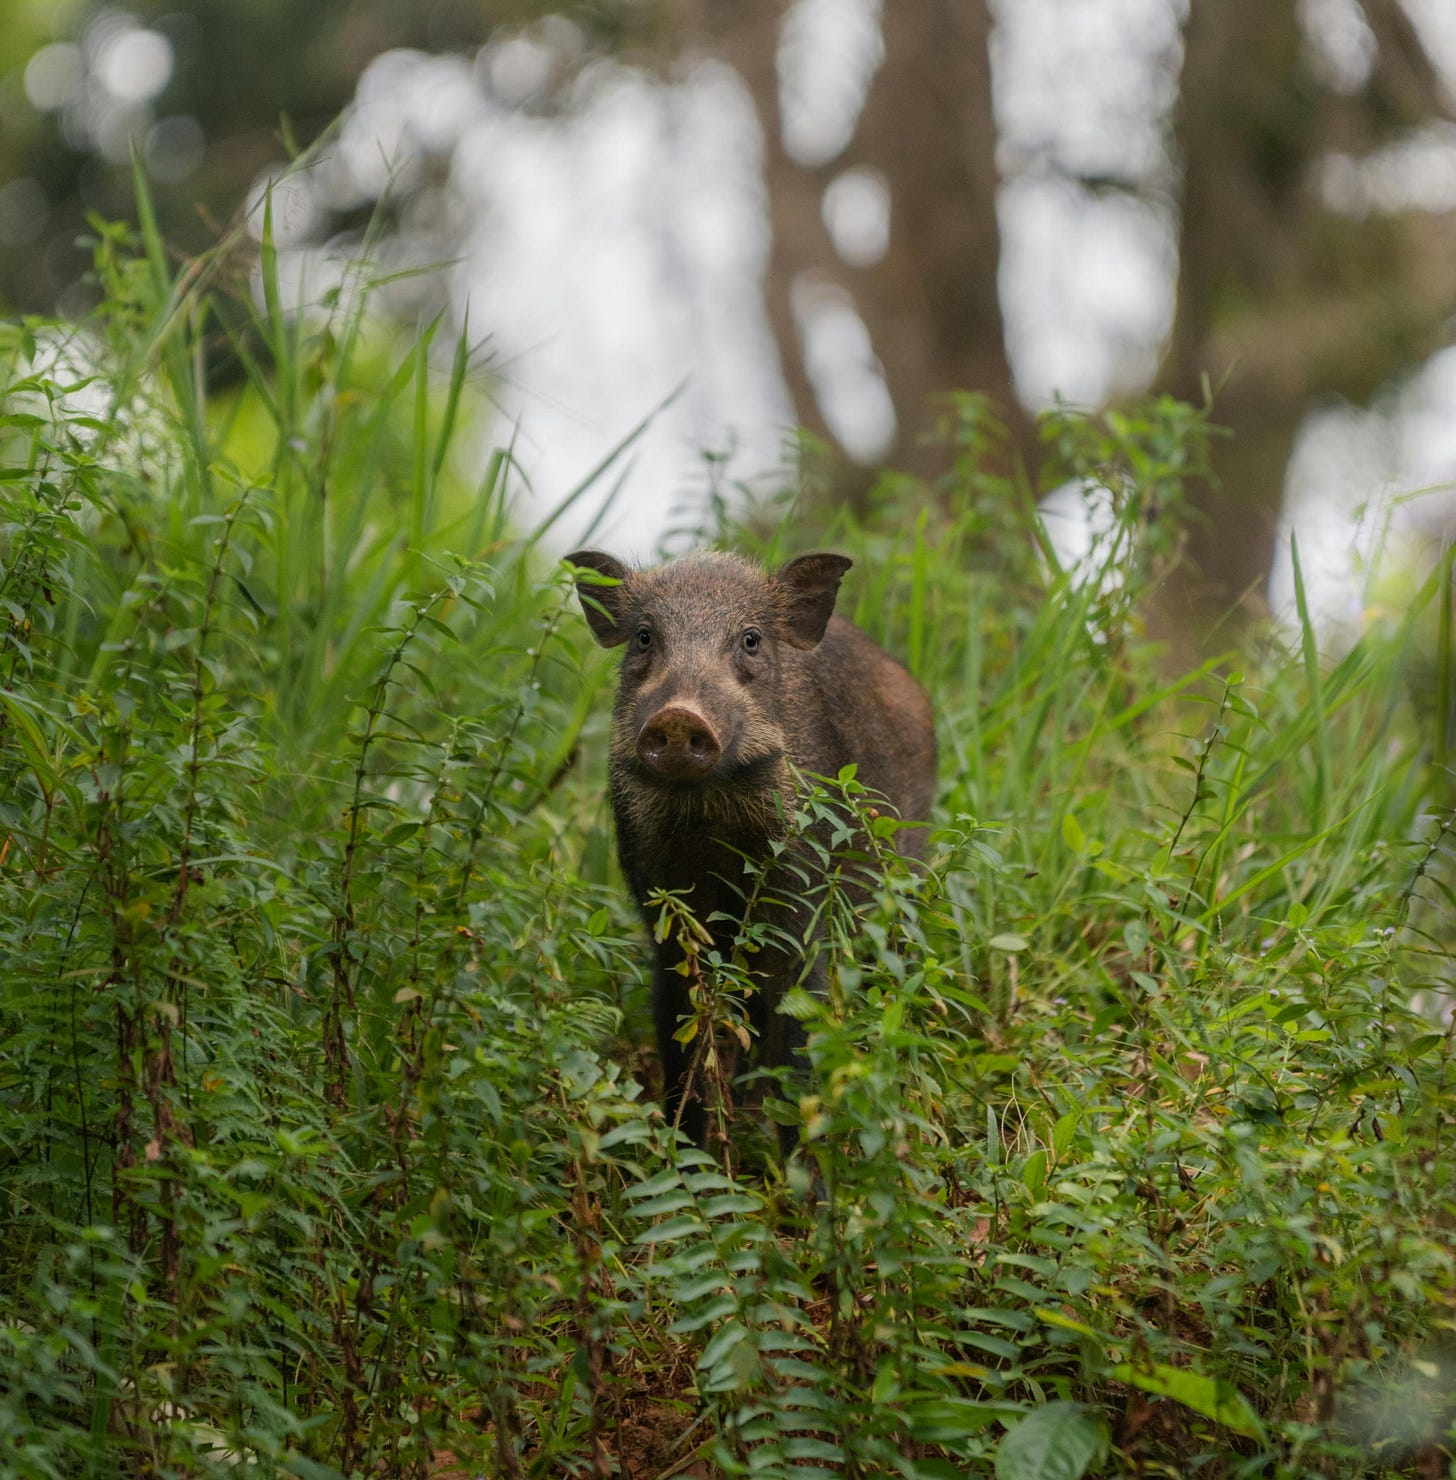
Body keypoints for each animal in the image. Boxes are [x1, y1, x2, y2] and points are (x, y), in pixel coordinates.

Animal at [565, 548, 936, 1149]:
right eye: (644, 637)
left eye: (751, 639)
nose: (679, 716)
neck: (711, 823)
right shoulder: (663, 904)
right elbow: (685, 1038)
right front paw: (691, 1153)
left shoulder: (802, 904)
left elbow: (798, 1044)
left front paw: (802, 1172)